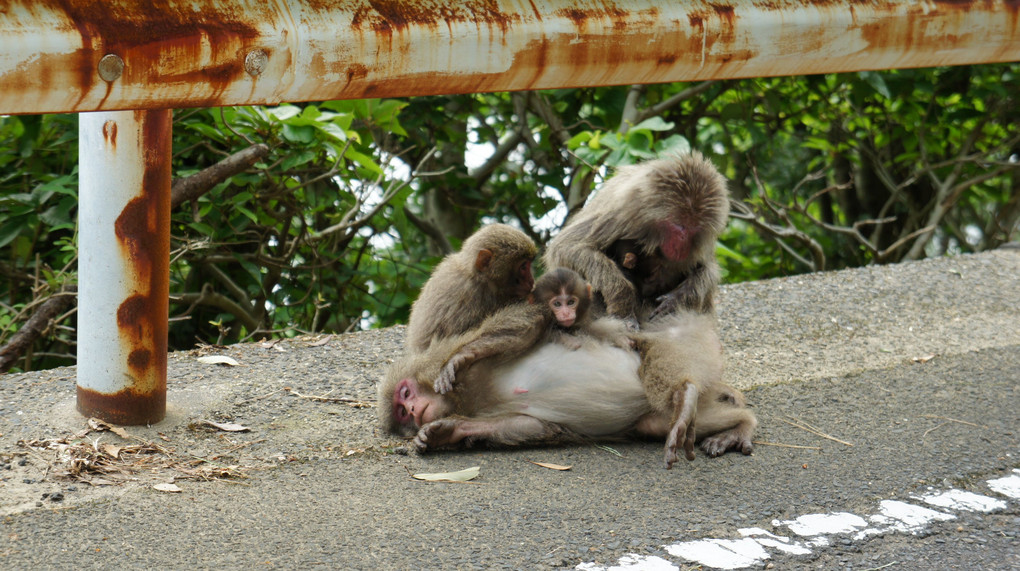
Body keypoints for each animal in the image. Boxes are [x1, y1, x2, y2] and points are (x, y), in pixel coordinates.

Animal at [432, 269, 636, 395]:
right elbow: (515, 337)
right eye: (557, 304)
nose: (566, 313)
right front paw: (458, 358)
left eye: (571, 302)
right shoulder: (540, 316)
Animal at [546, 153, 730, 328]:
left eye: (695, 228)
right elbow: (567, 246)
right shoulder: (623, 214)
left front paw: (677, 298)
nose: (682, 247)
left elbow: (707, 269)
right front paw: (624, 305)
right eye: (679, 226)